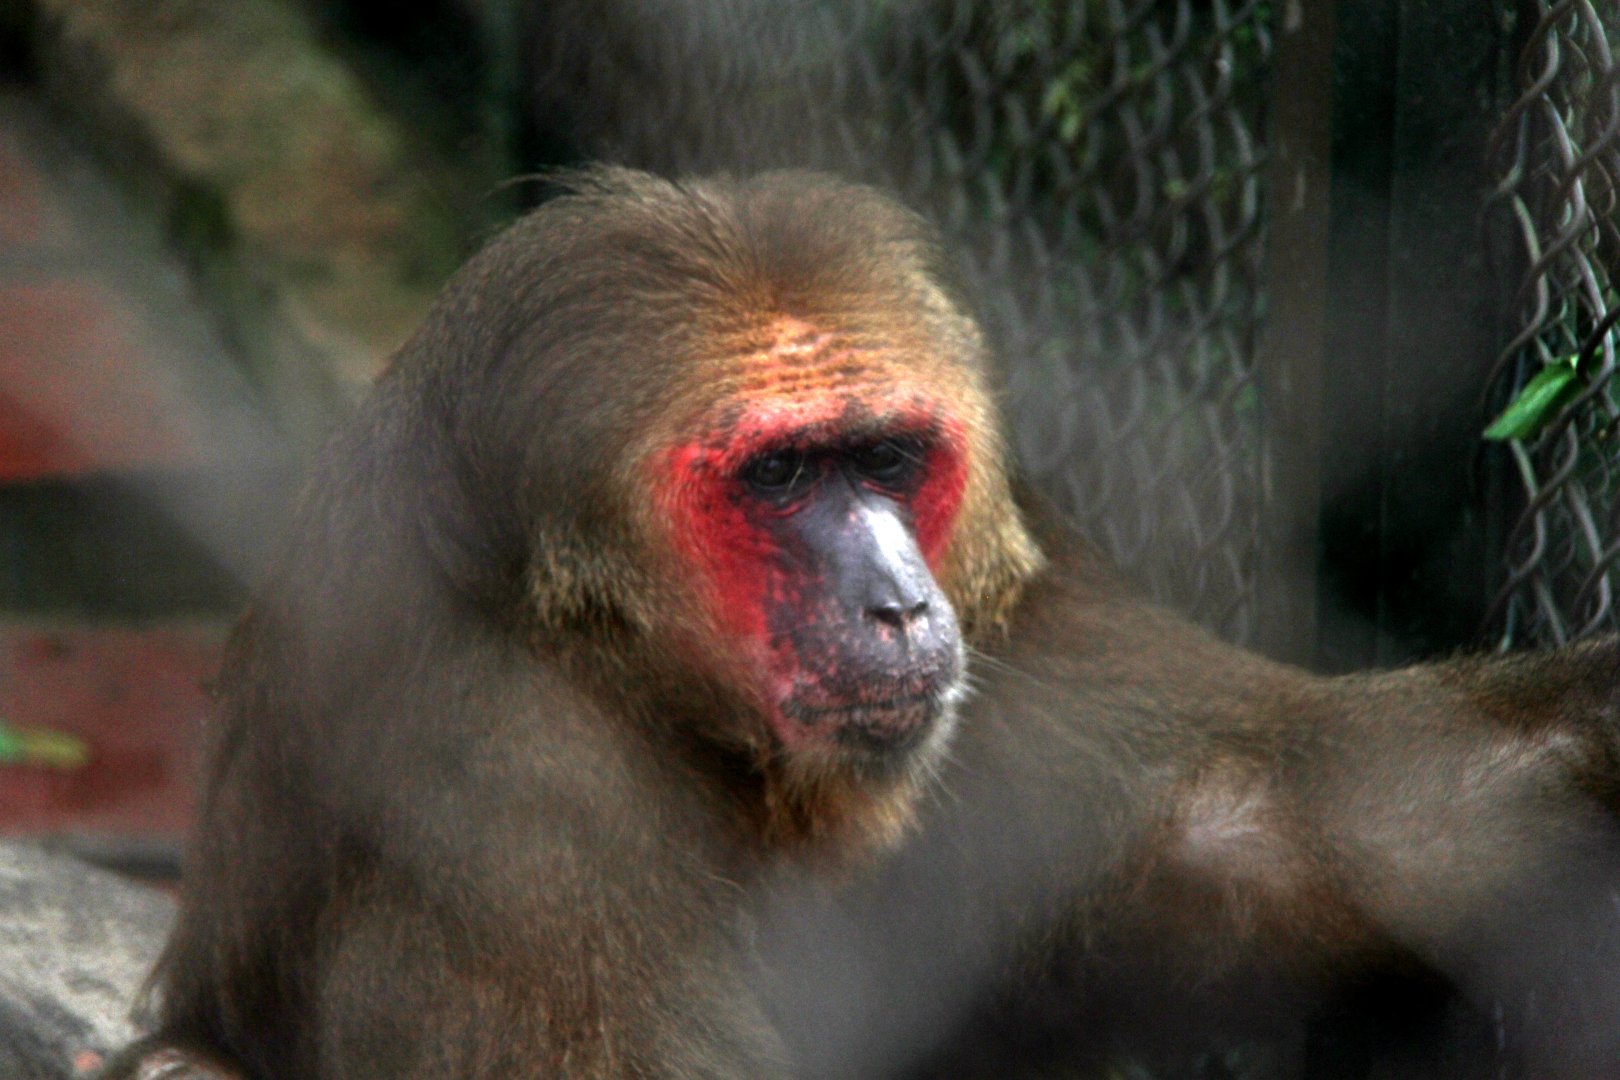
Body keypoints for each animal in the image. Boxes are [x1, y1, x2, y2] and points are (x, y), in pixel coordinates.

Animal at [101, 167, 1620, 1079]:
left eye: (887, 457)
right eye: (779, 478)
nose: (896, 600)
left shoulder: (1022, 604)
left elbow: (1282, 818)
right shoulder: (504, 802)